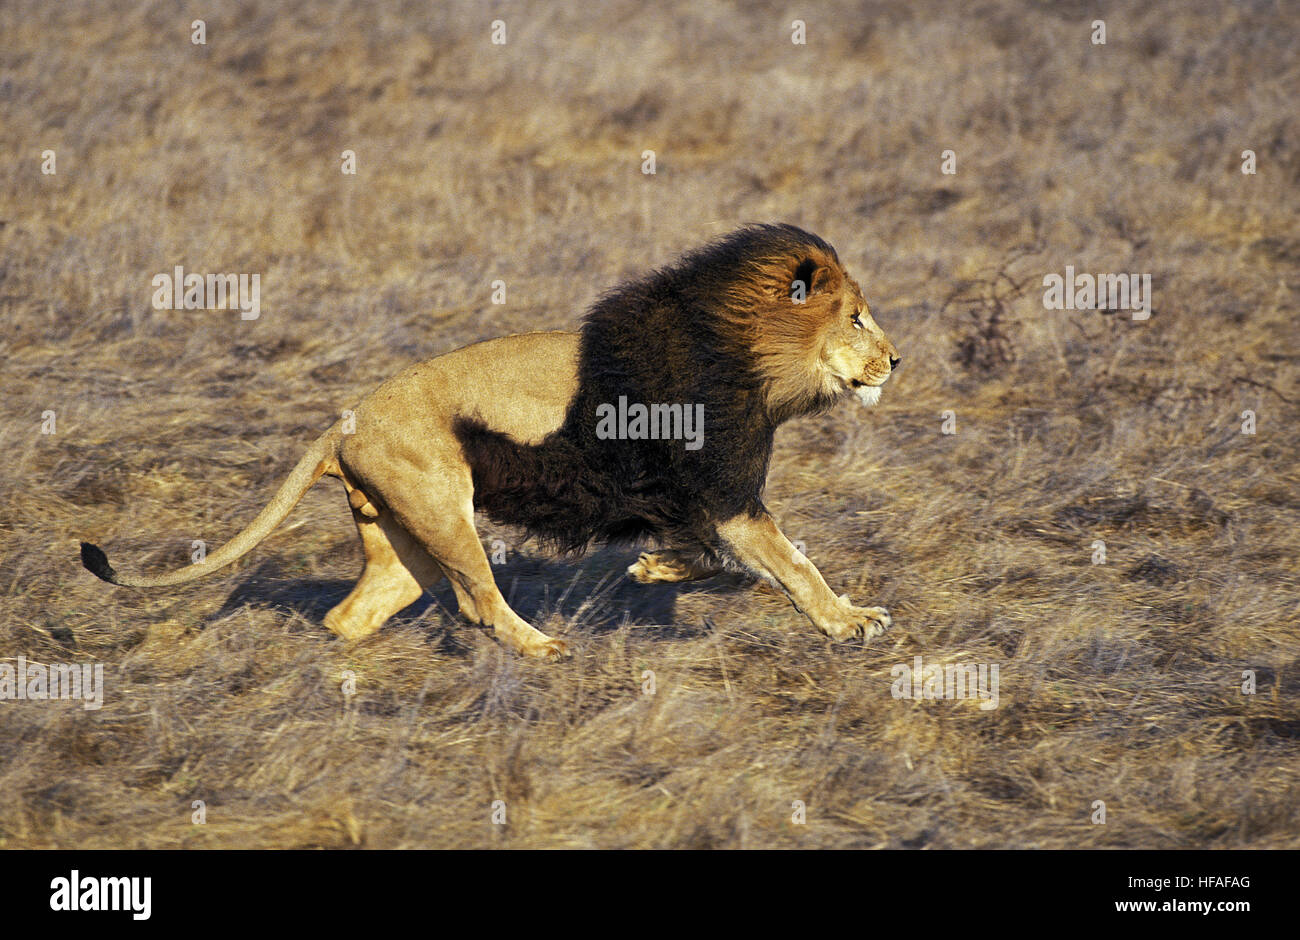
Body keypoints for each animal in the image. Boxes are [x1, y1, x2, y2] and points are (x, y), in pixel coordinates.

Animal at [78, 223, 894, 657]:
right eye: (856, 317)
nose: (897, 359)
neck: (745, 356)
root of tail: (341, 422)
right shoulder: (725, 495)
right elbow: (793, 565)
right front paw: (850, 620)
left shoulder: (700, 503)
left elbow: (724, 561)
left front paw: (655, 570)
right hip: (445, 509)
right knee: (478, 603)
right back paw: (542, 647)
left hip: (404, 538)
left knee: (351, 614)